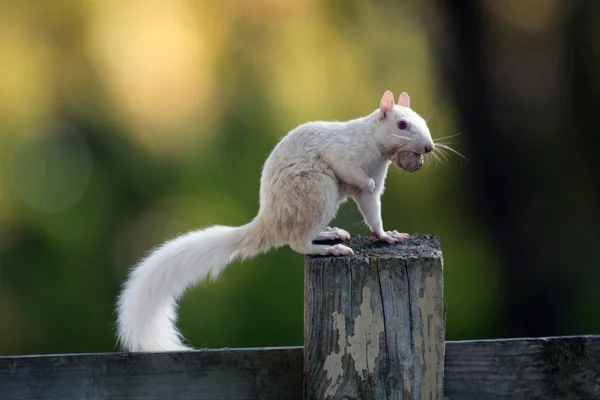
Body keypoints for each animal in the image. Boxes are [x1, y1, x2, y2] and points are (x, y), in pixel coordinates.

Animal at [117, 90, 436, 350]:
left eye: (423, 120)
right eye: (402, 125)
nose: (429, 148)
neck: (375, 145)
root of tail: (270, 223)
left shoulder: (375, 185)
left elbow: (372, 211)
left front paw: (386, 236)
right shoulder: (343, 152)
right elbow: (352, 172)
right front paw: (366, 185)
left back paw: (328, 234)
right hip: (318, 190)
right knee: (296, 243)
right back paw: (328, 248)